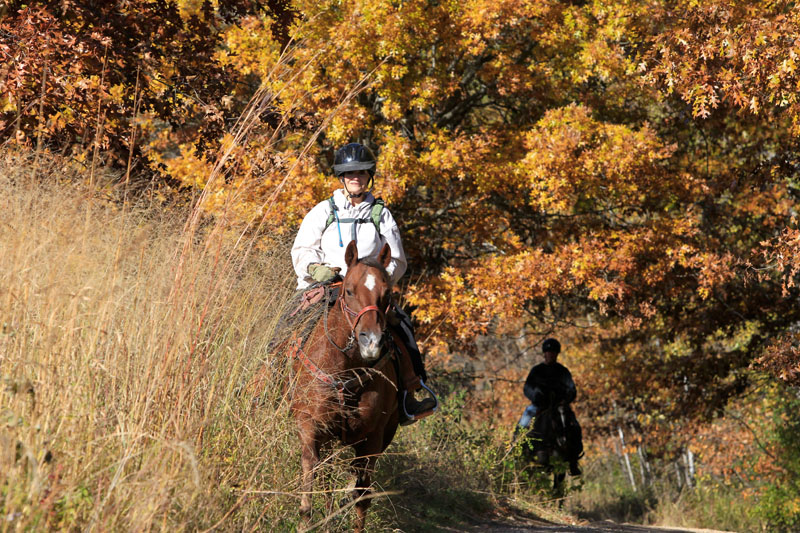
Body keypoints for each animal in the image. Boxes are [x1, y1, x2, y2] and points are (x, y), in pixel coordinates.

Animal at [290, 241, 402, 532]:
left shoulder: (372, 440)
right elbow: (311, 472)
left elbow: (361, 498)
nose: (372, 342)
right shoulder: (310, 425)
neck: (345, 368)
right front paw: (305, 519)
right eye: (349, 290)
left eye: (387, 294)